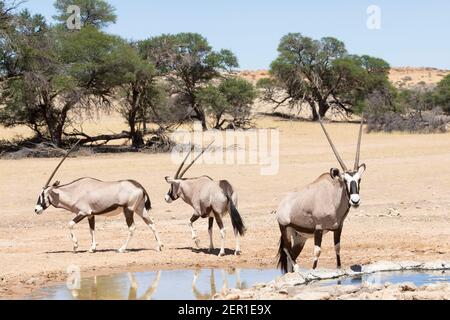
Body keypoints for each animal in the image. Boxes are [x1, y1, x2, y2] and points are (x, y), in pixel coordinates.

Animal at [35, 141, 163, 254]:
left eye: (43, 195)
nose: (36, 209)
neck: (74, 191)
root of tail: (139, 186)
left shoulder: (83, 212)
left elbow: (70, 224)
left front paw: (76, 246)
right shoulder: (90, 215)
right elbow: (91, 229)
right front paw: (92, 249)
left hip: (129, 210)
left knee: (132, 228)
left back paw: (121, 249)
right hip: (139, 209)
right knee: (151, 222)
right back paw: (159, 246)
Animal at [276, 117, 368, 272]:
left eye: (359, 179)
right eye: (344, 180)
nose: (355, 201)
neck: (333, 199)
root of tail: (281, 205)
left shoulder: (338, 228)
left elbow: (337, 248)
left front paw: (339, 268)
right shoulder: (318, 229)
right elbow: (317, 251)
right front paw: (314, 272)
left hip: (300, 237)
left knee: (291, 254)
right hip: (286, 229)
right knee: (287, 250)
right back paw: (298, 270)